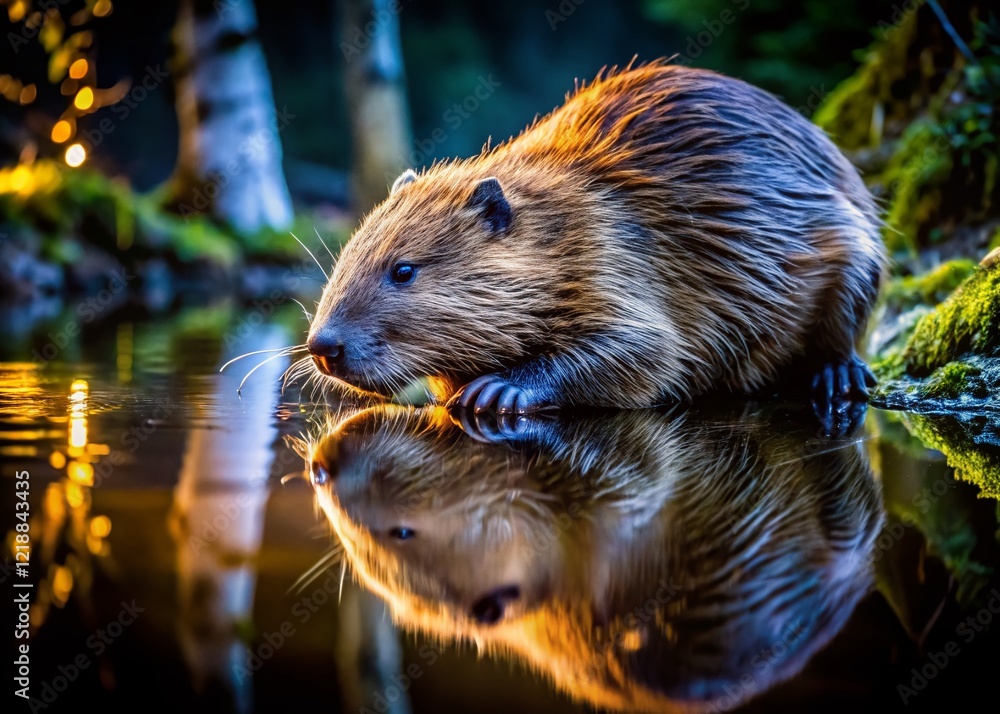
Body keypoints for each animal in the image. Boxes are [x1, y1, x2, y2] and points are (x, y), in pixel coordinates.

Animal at [306, 64, 884, 414]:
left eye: (403, 270)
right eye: (344, 260)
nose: (322, 347)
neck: (565, 217)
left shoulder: (613, 255)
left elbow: (646, 349)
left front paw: (497, 389)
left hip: (857, 249)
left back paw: (839, 377)